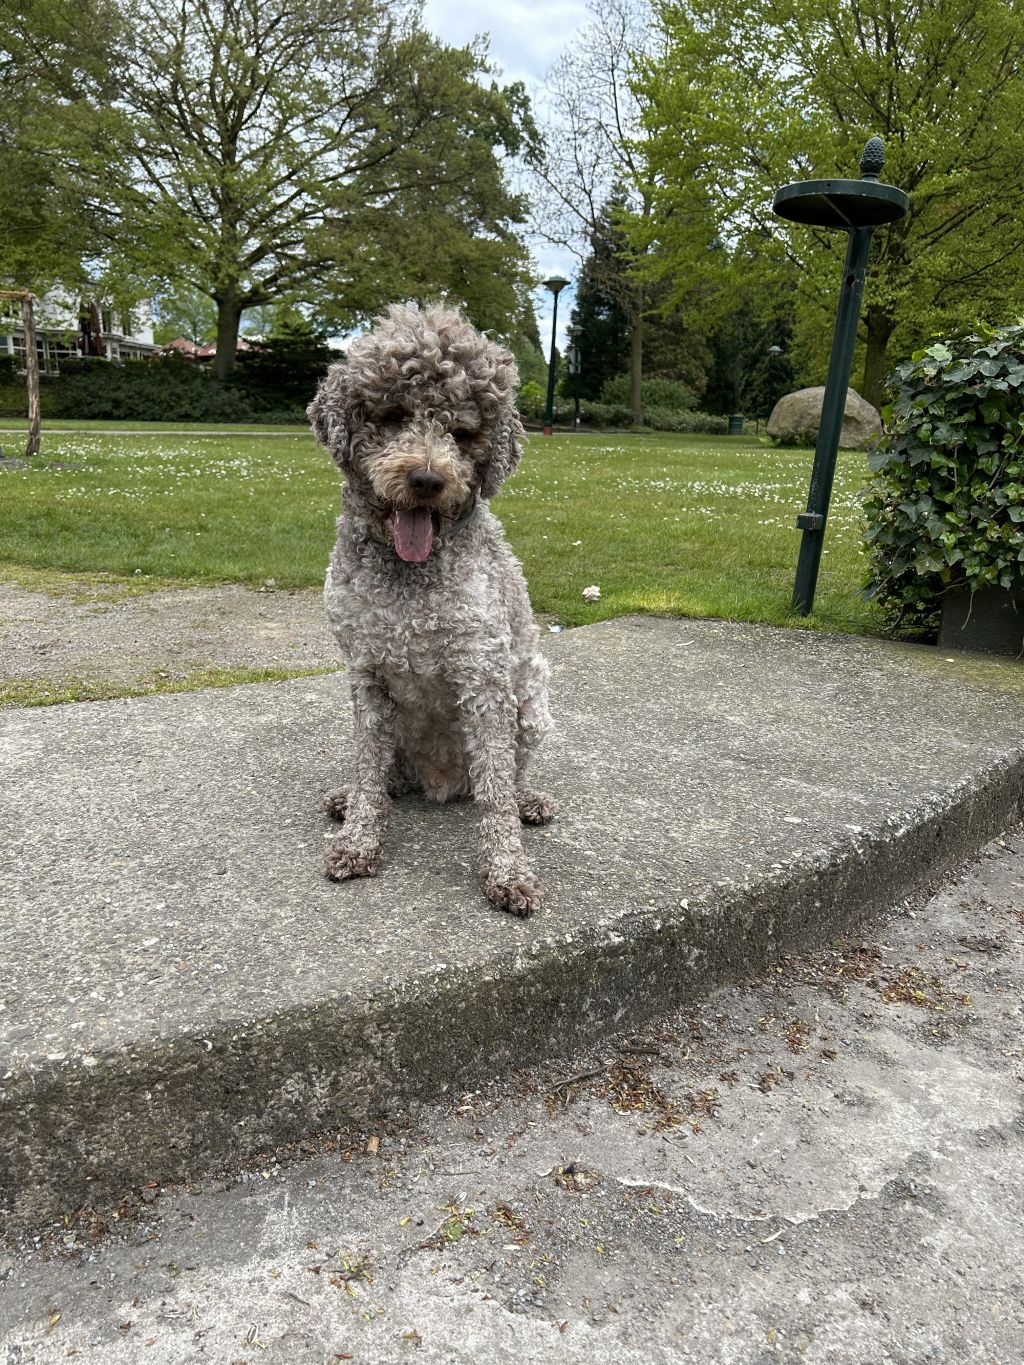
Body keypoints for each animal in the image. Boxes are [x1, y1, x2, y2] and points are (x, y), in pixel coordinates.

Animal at [307, 303, 555, 916]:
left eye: (463, 432)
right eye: (393, 415)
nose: (426, 479)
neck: (409, 574)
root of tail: (442, 783)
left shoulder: (484, 675)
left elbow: (495, 793)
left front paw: (508, 870)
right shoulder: (366, 674)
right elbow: (368, 767)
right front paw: (359, 839)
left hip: (532, 701)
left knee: (506, 775)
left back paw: (527, 800)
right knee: (385, 773)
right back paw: (355, 795)